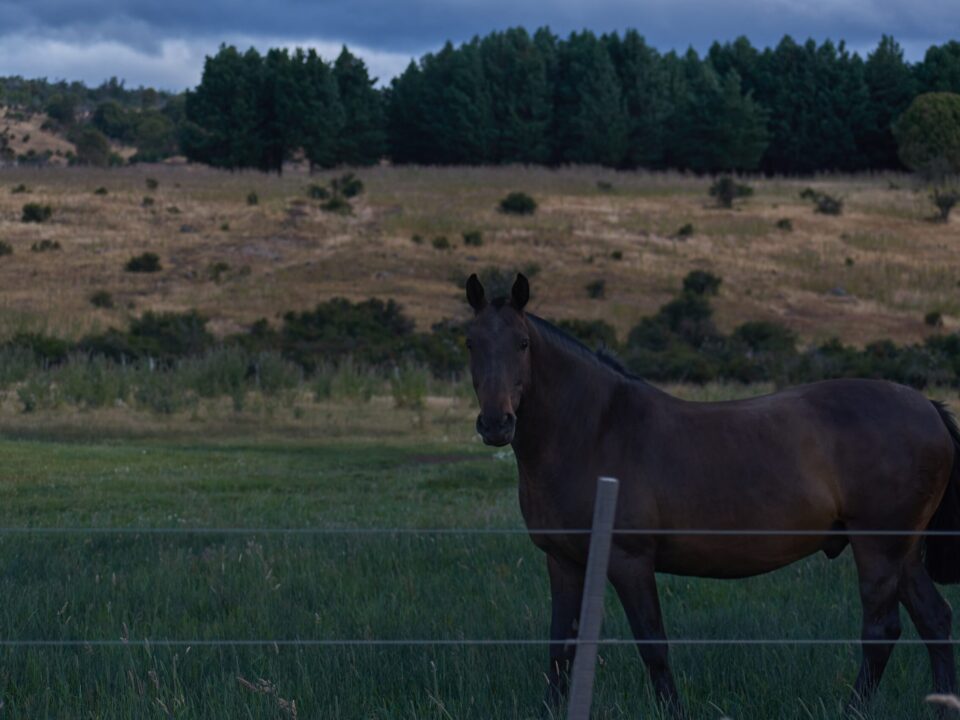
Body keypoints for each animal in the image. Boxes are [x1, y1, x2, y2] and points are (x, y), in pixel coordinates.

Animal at [463, 272, 960, 717]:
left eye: (522, 344)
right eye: (471, 344)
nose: (496, 423)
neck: (595, 429)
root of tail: (928, 407)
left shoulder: (629, 560)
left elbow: (652, 643)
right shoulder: (563, 560)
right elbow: (559, 646)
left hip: (878, 547)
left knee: (881, 630)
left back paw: (853, 709)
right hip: (903, 553)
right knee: (934, 620)